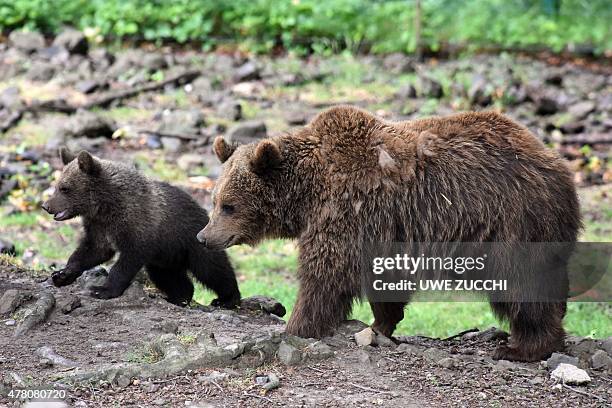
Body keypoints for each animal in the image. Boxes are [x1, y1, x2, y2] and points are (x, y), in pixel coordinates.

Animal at [198, 105, 580, 360]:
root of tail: (558, 165)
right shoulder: (380, 231)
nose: (204, 236)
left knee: (522, 285)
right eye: (214, 201)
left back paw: (523, 348)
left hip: (513, 222)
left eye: (229, 205)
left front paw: (297, 326)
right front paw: (380, 324)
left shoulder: (346, 210)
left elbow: (325, 273)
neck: (306, 194)